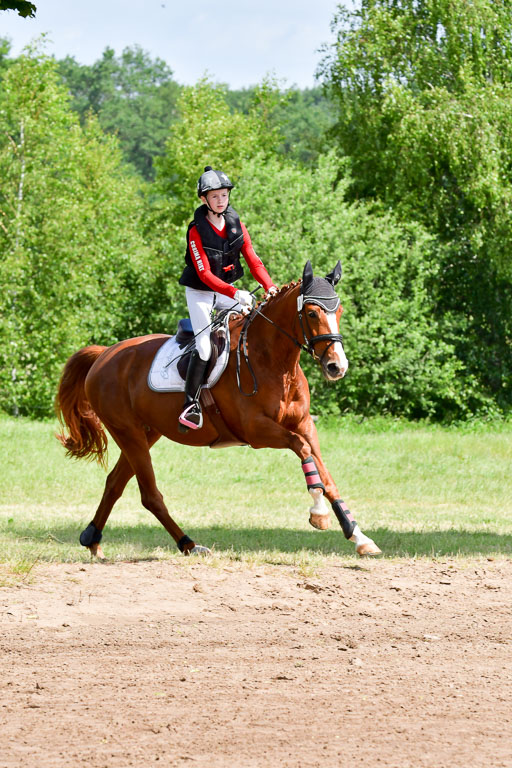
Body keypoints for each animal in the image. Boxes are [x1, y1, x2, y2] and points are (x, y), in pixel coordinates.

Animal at [55, 260, 381, 559]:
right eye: (312, 313)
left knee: (115, 483)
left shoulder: (304, 424)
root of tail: (104, 354)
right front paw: (319, 513)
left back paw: (92, 539)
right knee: (149, 494)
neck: (273, 361)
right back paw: (188, 544)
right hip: (128, 431)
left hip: (146, 433)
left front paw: (358, 535)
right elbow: (302, 450)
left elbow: (325, 474)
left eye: (338, 311)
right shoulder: (257, 431)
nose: (337, 366)